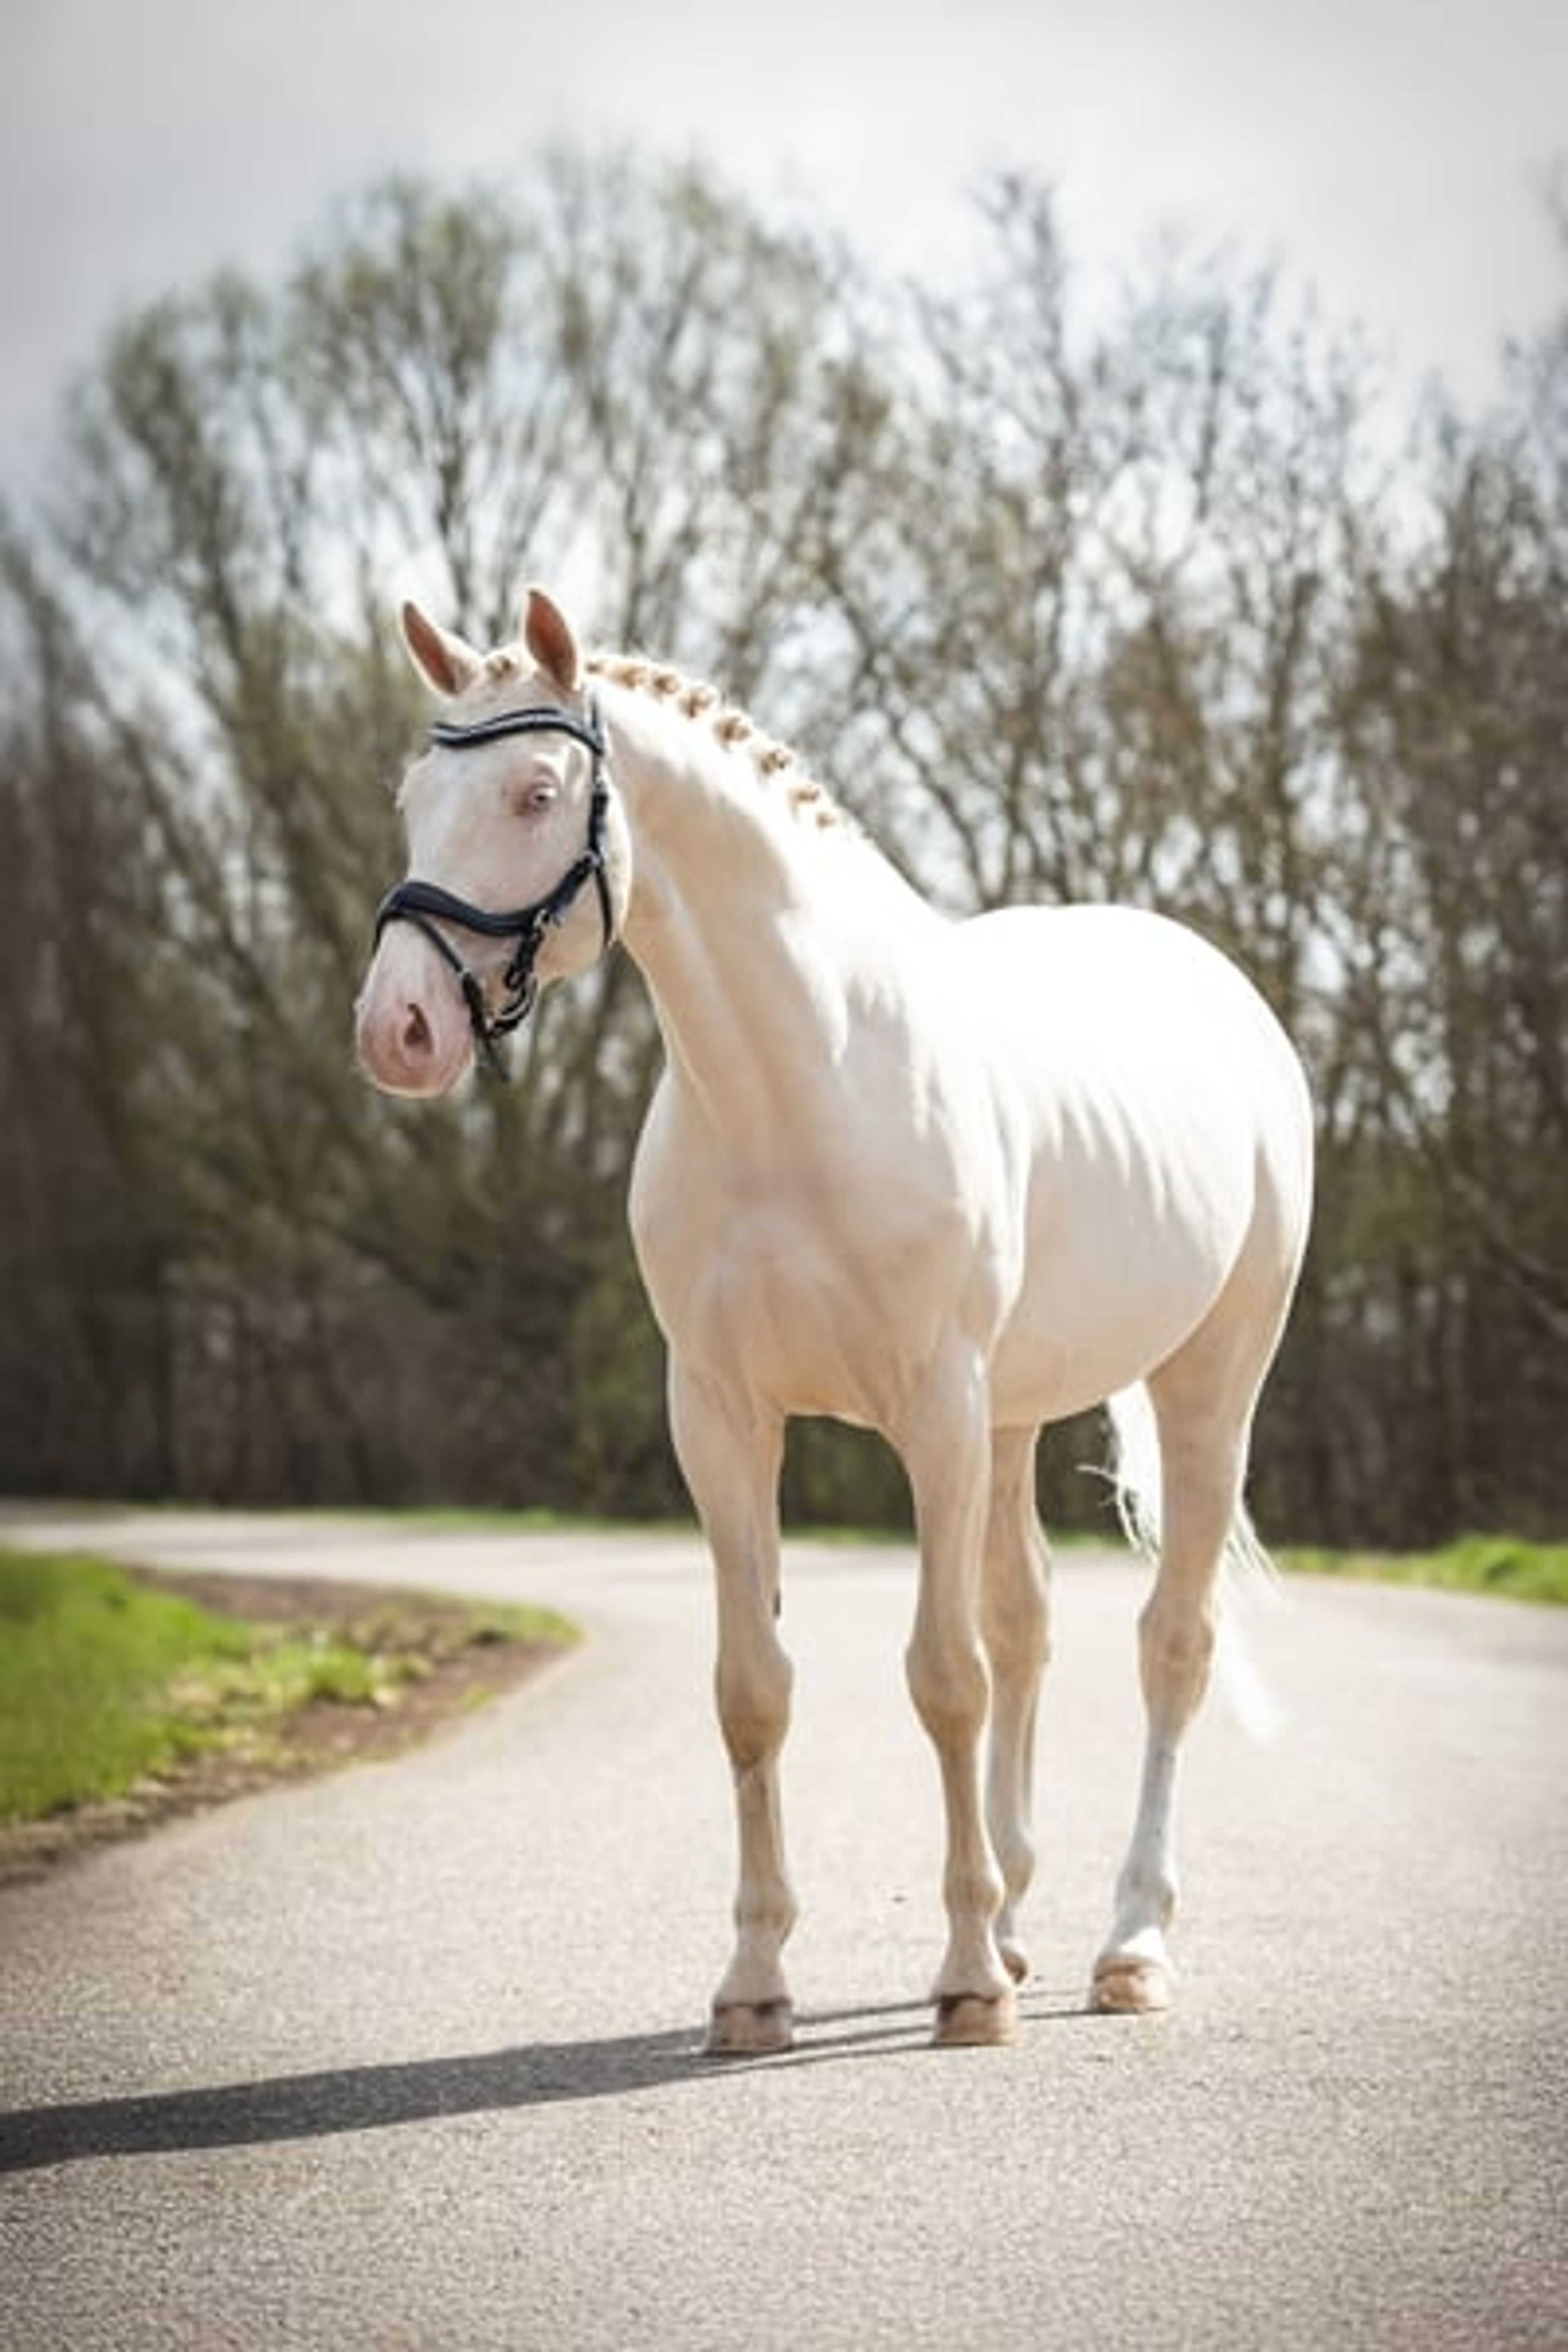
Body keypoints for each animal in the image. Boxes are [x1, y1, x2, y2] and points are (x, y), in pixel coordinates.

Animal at [355, 586, 1314, 2053]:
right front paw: (756, 1988)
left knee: (1171, 1643)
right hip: (1018, 1418)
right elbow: (755, 1691)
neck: (802, 1088)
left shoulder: (936, 1411)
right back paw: (1024, 1918)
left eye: (533, 793)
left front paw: (966, 1986)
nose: (398, 1029)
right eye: (415, 798)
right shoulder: (722, 1419)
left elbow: (944, 1678)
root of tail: (1225, 991)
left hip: (1210, 1383)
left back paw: (1128, 1945)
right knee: (1028, 1619)